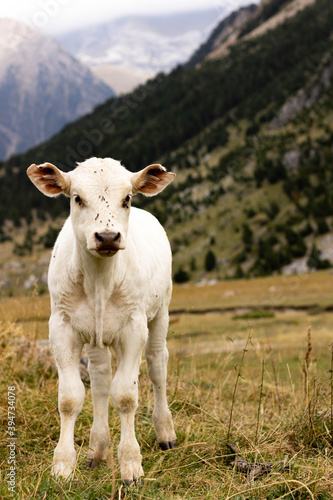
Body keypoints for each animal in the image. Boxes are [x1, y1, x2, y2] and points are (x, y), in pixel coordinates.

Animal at [26, 157, 176, 484]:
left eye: (127, 198)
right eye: (77, 198)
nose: (107, 236)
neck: (98, 281)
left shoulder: (134, 327)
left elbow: (126, 396)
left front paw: (131, 463)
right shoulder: (61, 327)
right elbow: (70, 398)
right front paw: (63, 464)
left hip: (161, 312)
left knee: (157, 367)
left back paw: (165, 433)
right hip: (96, 337)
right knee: (100, 379)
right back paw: (98, 448)